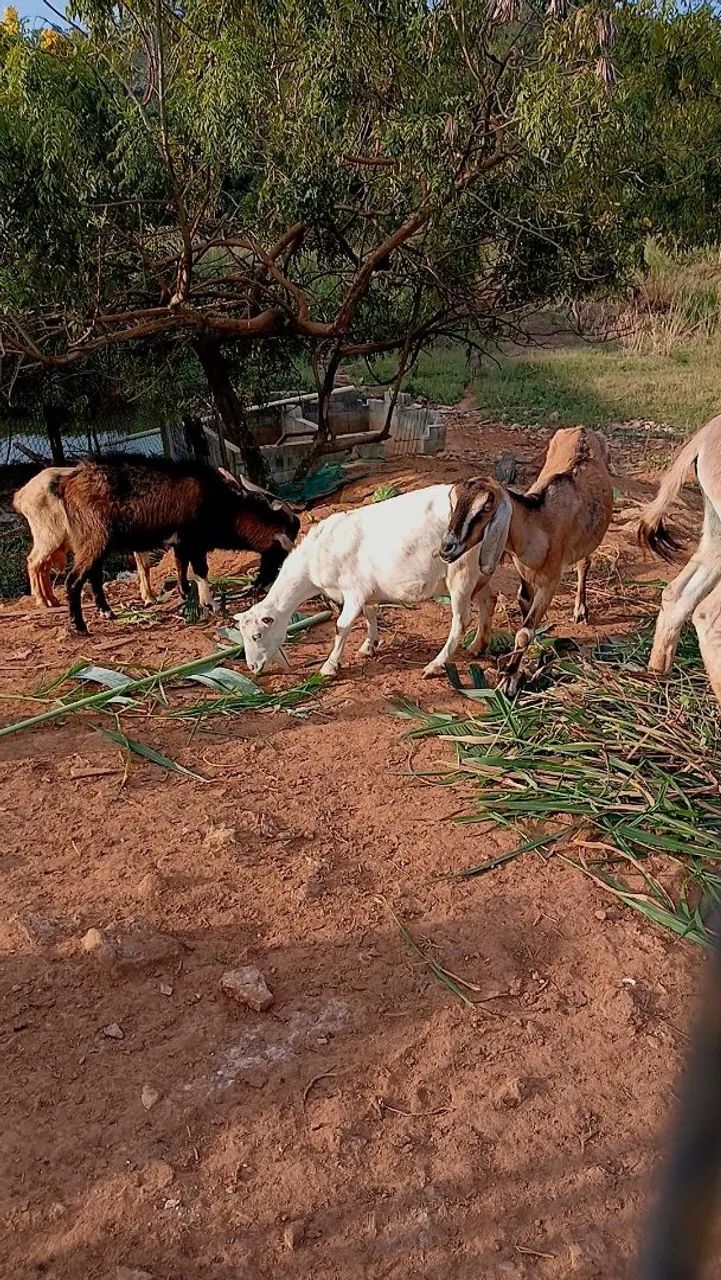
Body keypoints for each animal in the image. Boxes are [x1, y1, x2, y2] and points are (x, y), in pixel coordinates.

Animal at [12, 466, 153, 608]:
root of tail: (21, 495)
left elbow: (144, 565)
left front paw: (149, 598)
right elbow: (144, 565)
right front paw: (149, 599)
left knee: (44, 566)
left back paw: (52, 601)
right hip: (48, 536)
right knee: (33, 562)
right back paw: (42, 602)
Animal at [52, 454, 300, 634]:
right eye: (279, 556)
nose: (261, 586)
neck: (225, 507)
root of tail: (66, 485)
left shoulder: (181, 543)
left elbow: (181, 565)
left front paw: (185, 593)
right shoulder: (195, 542)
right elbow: (201, 570)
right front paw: (210, 604)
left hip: (96, 543)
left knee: (93, 575)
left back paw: (107, 613)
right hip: (94, 539)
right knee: (74, 580)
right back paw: (80, 627)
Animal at [233, 484, 508, 678]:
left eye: (257, 635)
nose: (253, 666)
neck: (314, 559)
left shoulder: (353, 590)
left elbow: (341, 626)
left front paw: (329, 667)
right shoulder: (366, 590)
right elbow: (370, 613)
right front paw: (369, 646)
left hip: (461, 571)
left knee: (461, 620)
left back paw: (435, 665)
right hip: (481, 571)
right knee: (489, 600)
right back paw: (478, 645)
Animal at [440, 427, 614, 693]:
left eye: (485, 507)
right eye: (452, 501)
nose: (447, 548)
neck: (539, 525)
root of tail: (582, 429)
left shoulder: (550, 581)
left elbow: (523, 633)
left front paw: (509, 680)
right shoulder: (524, 574)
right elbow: (524, 613)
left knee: (584, 563)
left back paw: (580, 611)